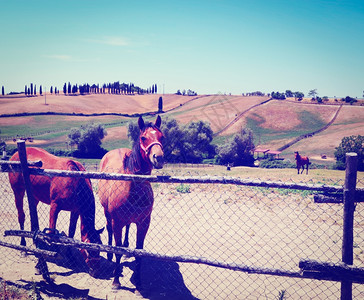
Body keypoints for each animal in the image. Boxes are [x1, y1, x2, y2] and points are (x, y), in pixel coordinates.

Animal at [98, 116, 164, 290]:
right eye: (143, 138)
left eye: (162, 137)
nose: (158, 158)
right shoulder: (117, 222)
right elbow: (117, 249)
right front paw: (116, 282)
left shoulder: (144, 223)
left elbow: (139, 251)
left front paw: (139, 283)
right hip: (107, 214)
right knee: (109, 229)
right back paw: (109, 253)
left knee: (127, 229)